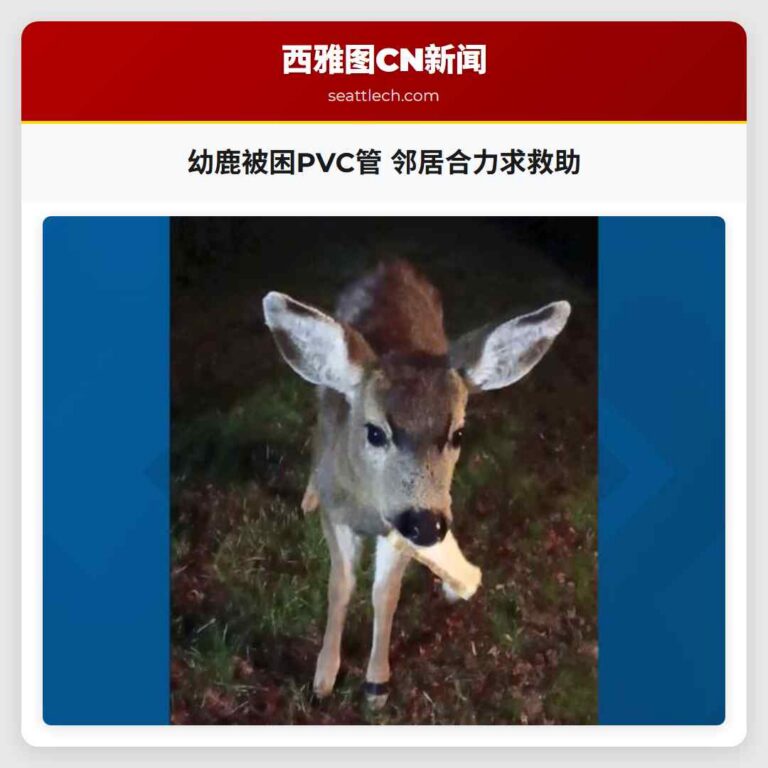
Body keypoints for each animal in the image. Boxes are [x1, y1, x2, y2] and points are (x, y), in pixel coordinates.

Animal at [263, 260, 570, 708]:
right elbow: (340, 586)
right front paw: (323, 677)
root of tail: (391, 263)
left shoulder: (398, 529)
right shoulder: (339, 515)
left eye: (458, 434)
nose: (428, 524)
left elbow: (385, 594)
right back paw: (309, 494)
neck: (367, 507)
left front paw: (376, 684)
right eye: (375, 432)